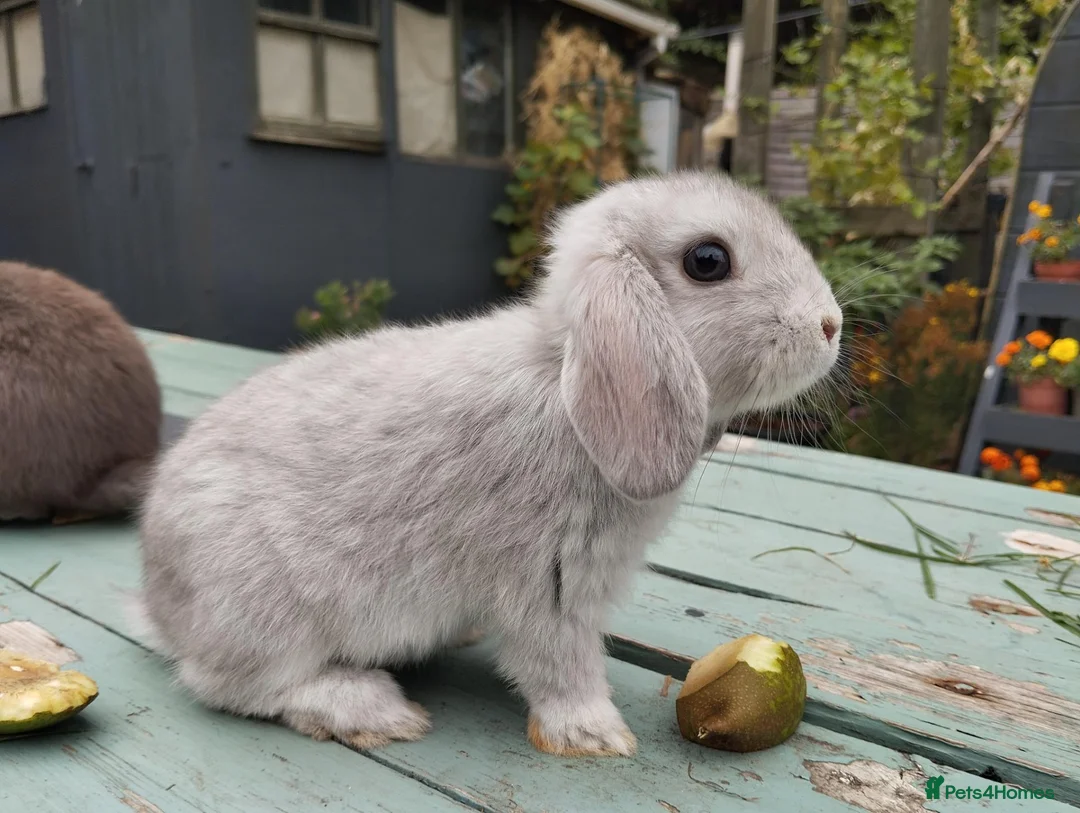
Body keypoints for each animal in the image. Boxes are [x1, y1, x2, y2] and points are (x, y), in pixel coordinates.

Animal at [131, 170, 842, 757]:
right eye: (708, 261)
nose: (830, 325)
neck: (564, 385)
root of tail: (163, 609)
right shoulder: (550, 584)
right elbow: (560, 664)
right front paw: (596, 735)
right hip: (263, 611)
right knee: (233, 685)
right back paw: (374, 710)